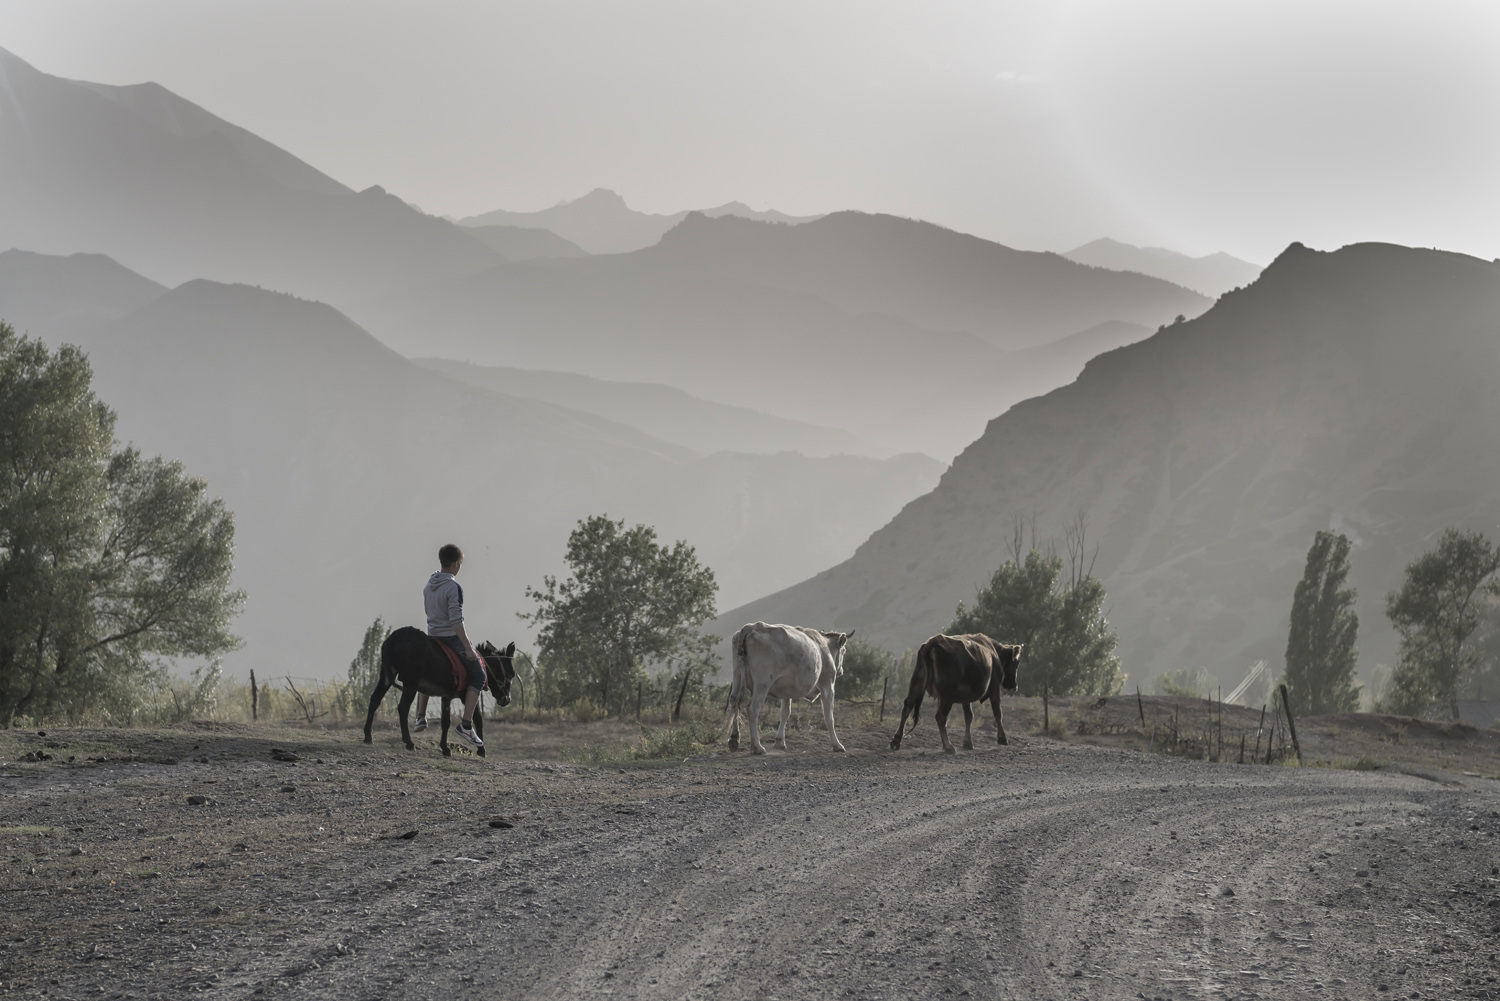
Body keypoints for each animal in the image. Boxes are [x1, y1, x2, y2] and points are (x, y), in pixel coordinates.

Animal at [726, 621, 858, 756]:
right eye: (844, 650)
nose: (841, 671)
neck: (824, 648)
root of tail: (751, 626)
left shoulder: (786, 690)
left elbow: (785, 713)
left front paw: (780, 741)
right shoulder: (828, 686)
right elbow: (829, 717)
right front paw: (837, 745)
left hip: (737, 677)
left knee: (734, 702)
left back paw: (734, 739)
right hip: (762, 684)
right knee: (752, 709)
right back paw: (757, 747)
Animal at [888, 633, 1020, 750]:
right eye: (1017, 663)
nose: (1014, 686)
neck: (994, 653)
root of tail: (935, 640)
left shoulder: (966, 696)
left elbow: (969, 716)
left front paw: (967, 742)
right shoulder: (995, 688)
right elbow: (998, 713)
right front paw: (1002, 738)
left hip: (917, 683)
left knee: (907, 706)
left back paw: (896, 740)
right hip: (947, 696)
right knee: (941, 716)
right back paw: (948, 746)